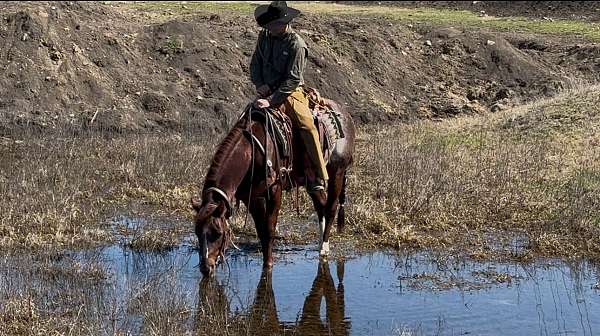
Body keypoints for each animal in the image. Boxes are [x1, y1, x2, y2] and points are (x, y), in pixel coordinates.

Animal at [190, 96, 354, 276]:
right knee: (321, 205)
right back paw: (320, 244)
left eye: (217, 233)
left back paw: (324, 248)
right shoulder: (251, 197)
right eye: (197, 231)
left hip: (337, 172)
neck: (252, 151)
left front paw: (268, 265)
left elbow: (269, 229)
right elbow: (261, 230)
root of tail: (346, 114)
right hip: (312, 180)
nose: (206, 268)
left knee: (331, 208)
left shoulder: (274, 191)